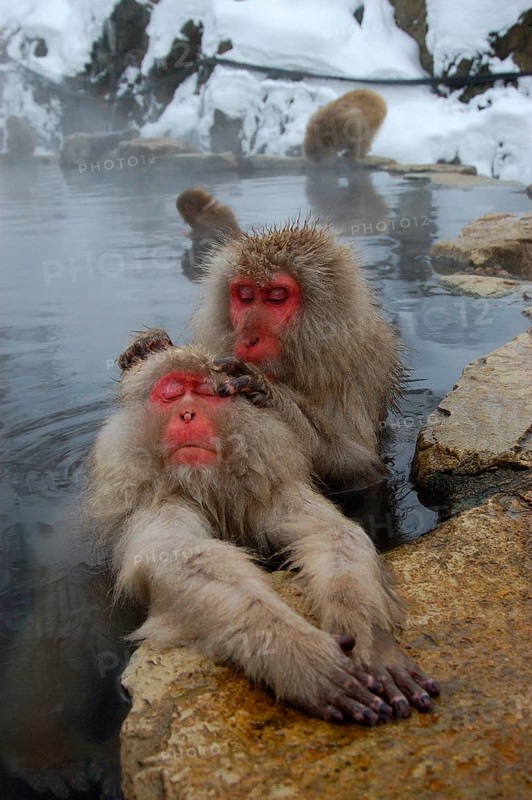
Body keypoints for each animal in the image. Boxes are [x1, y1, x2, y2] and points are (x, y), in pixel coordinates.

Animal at [86, 336, 439, 724]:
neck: (210, 486)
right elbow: (181, 559)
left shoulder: (267, 488)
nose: (187, 415)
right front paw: (298, 655)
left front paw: (369, 641)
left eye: (205, 393)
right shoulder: (161, 500)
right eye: (171, 393)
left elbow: (332, 534)